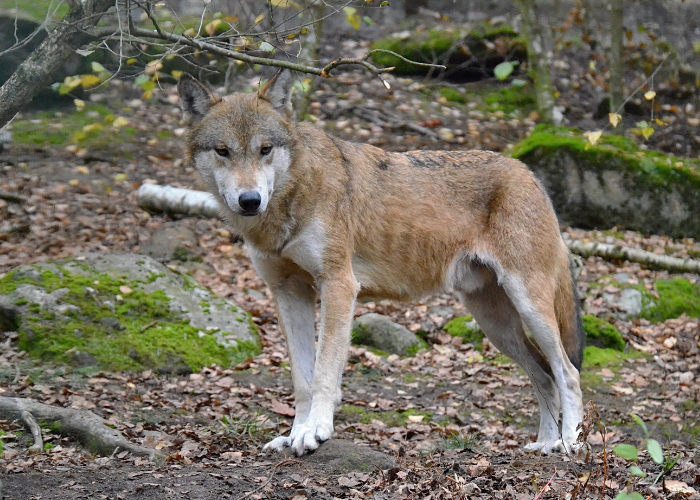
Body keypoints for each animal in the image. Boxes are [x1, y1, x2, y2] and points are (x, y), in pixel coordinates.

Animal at [177, 69, 584, 457]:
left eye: (264, 149)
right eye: (223, 151)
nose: (250, 200)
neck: (291, 198)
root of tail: (530, 174)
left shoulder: (339, 285)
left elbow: (324, 371)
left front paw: (315, 432)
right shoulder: (289, 292)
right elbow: (302, 380)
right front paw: (293, 435)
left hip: (528, 308)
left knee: (567, 372)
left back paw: (567, 444)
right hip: (495, 324)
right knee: (544, 376)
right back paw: (544, 445)